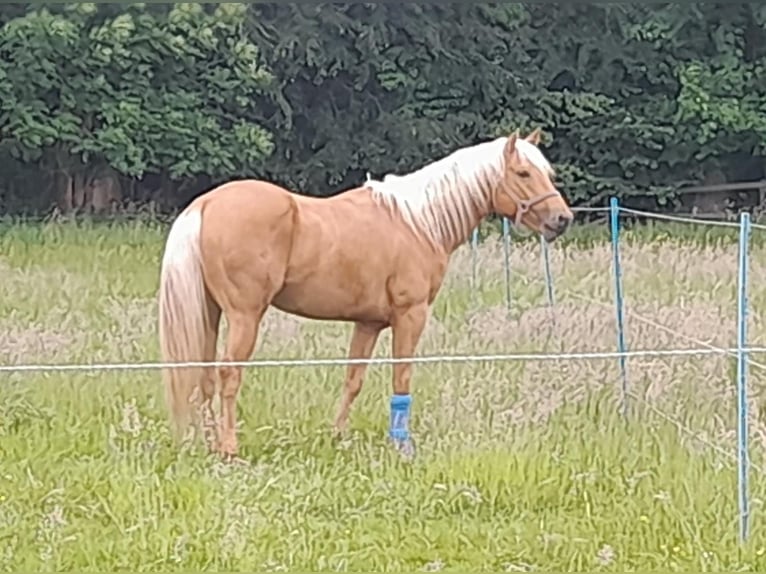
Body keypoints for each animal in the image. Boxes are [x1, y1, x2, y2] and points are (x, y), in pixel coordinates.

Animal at [159, 129, 572, 460]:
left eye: (547, 173)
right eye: (523, 173)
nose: (562, 219)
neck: (419, 221)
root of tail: (206, 204)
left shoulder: (368, 323)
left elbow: (353, 380)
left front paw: (337, 437)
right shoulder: (410, 315)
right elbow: (401, 378)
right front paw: (402, 445)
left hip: (211, 314)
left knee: (204, 375)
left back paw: (209, 443)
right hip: (244, 316)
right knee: (229, 374)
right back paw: (229, 449)